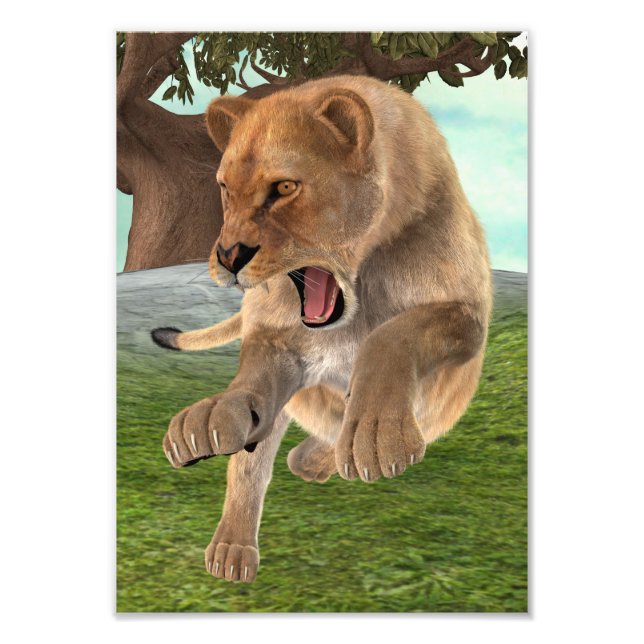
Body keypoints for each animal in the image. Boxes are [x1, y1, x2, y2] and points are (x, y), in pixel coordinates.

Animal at [151, 75, 492, 583]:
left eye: (284, 187)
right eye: (225, 188)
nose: (229, 257)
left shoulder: (467, 314)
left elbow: (393, 334)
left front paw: (376, 434)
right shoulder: (276, 337)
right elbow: (252, 398)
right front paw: (213, 416)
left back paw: (316, 457)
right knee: (254, 460)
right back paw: (232, 549)